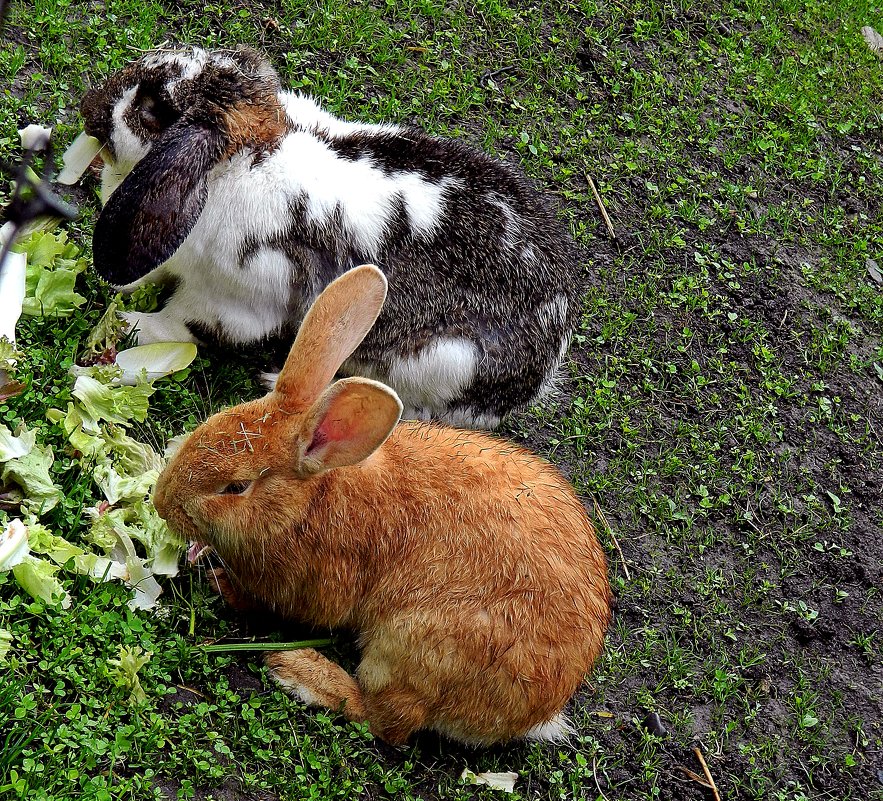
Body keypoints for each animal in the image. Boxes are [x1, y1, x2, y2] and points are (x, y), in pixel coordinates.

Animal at [81, 46, 580, 428]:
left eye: (150, 110)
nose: (89, 110)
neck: (241, 160)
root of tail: (546, 359)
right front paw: (126, 294)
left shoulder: (232, 299)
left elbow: (182, 324)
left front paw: (130, 327)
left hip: (444, 365)